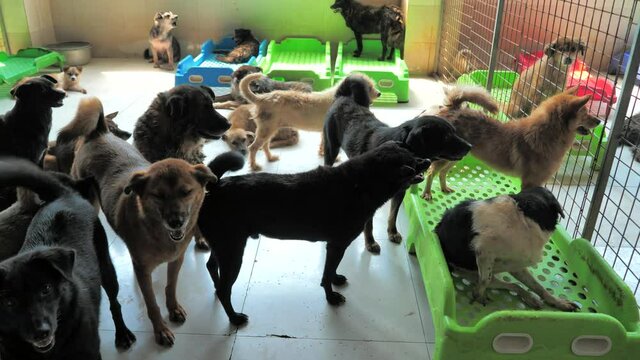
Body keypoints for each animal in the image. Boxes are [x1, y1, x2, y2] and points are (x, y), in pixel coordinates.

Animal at [0, 160, 135, 360]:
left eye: (46, 289)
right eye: (9, 302)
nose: (41, 333)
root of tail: (64, 195)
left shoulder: (90, 352)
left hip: (107, 269)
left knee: (115, 303)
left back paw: (123, 333)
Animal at [72, 100, 218, 348]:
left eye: (186, 192)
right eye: (158, 195)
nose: (176, 222)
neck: (157, 231)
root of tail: (98, 133)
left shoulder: (176, 260)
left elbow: (170, 288)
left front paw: (174, 309)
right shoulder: (144, 271)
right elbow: (151, 303)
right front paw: (161, 330)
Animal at [240, 72, 380, 171]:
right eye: (369, 88)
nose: (379, 93)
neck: (337, 94)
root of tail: (262, 98)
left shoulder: (324, 131)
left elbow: (323, 143)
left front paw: (322, 153)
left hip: (270, 129)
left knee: (264, 145)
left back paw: (270, 158)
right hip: (266, 130)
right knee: (253, 148)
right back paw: (254, 166)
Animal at [424, 86, 600, 201]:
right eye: (585, 113)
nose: (599, 121)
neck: (544, 135)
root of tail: (454, 108)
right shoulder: (529, 183)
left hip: (455, 157)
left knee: (442, 173)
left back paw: (444, 188)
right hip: (445, 157)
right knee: (431, 172)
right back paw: (427, 193)